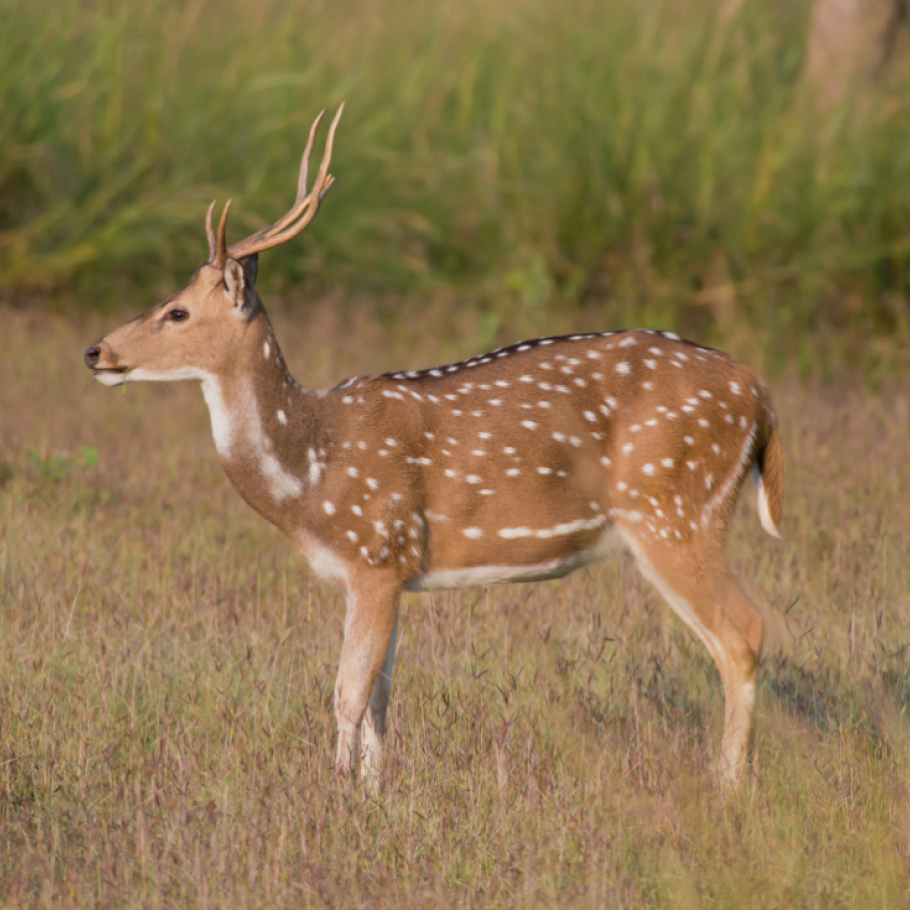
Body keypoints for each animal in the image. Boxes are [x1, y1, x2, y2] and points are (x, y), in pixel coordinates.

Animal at [83, 105, 784, 792]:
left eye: (176, 312)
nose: (96, 351)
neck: (309, 471)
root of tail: (760, 395)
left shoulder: (374, 550)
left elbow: (345, 693)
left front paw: (334, 793)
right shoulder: (390, 571)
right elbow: (379, 698)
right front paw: (374, 794)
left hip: (673, 510)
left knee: (743, 632)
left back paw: (729, 786)